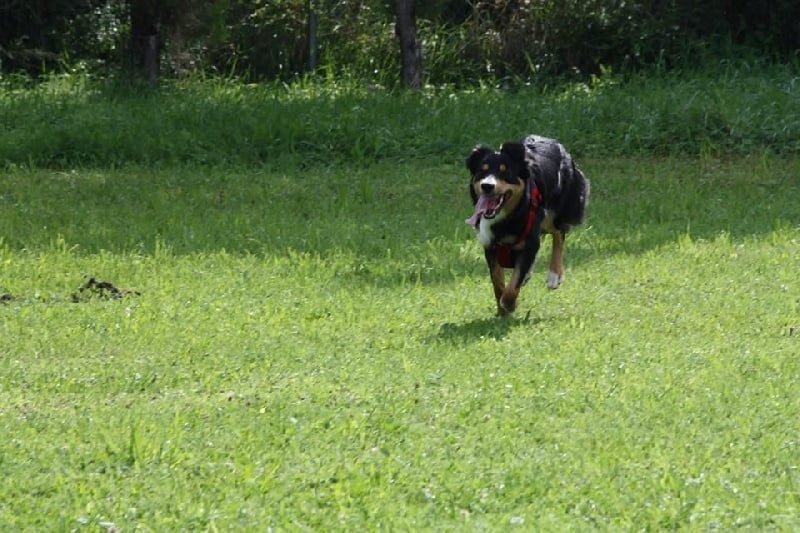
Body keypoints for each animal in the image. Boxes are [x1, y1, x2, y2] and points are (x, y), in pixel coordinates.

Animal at [466, 134, 592, 316]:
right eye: (482, 171)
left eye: (506, 172)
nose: (487, 186)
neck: (507, 217)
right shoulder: (490, 245)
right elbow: (498, 281)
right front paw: (502, 309)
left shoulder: (531, 242)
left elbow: (514, 283)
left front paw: (509, 304)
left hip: (552, 212)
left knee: (559, 233)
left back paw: (554, 275)